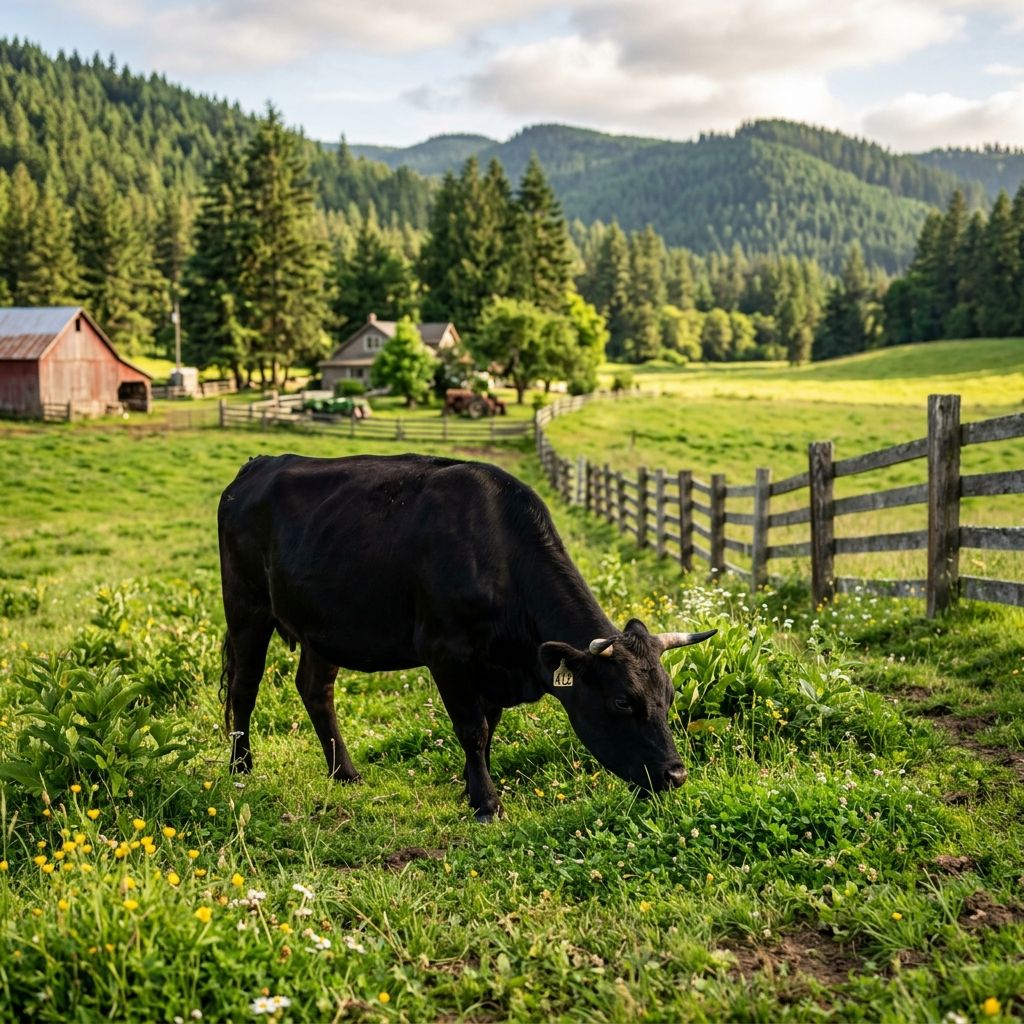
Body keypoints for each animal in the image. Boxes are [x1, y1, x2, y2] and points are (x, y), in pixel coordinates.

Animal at [218, 453, 716, 821]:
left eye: (669, 697)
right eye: (622, 702)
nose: (675, 775)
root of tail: (259, 465)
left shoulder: (493, 666)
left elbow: (488, 728)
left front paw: (470, 787)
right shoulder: (447, 654)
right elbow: (472, 728)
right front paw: (486, 803)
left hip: (323, 626)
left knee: (315, 689)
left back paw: (345, 772)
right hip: (246, 606)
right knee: (244, 689)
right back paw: (241, 768)